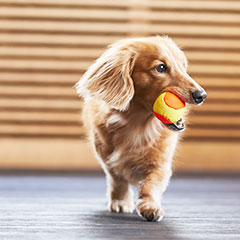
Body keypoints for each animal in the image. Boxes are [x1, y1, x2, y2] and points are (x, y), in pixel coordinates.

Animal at [75, 36, 206, 222]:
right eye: (161, 67)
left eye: (183, 66)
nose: (201, 95)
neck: (137, 126)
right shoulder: (108, 160)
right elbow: (118, 180)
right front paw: (121, 201)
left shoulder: (160, 164)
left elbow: (150, 184)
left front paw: (150, 206)